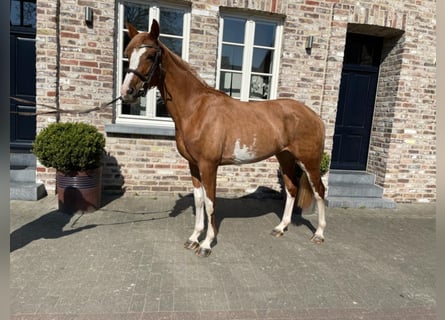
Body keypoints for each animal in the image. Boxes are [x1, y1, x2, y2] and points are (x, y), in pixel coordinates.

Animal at [119, 20, 324, 256]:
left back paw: (319, 234)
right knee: (291, 189)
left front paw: (207, 244)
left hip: (309, 161)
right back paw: (281, 227)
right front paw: (194, 238)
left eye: (151, 56)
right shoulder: (193, 165)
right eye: (127, 54)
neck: (196, 109)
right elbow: (199, 201)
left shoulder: (209, 165)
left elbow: (210, 203)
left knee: (319, 191)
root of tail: (314, 116)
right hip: (285, 157)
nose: (127, 92)